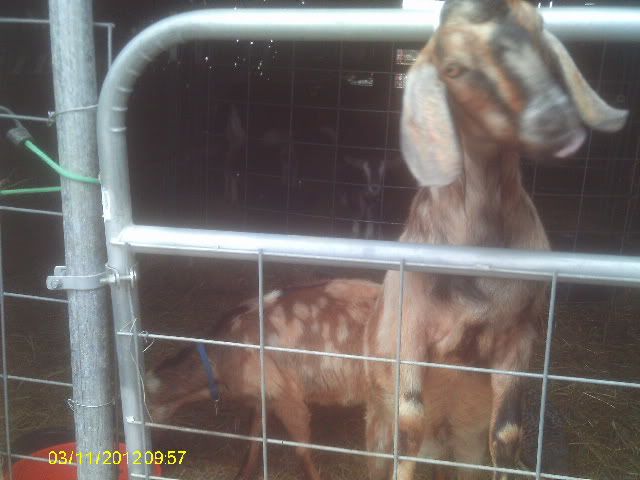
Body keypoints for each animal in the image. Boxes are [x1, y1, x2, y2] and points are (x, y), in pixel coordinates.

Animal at [144, 278, 380, 480]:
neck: (220, 357)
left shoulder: (286, 396)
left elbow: (301, 451)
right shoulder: (262, 398)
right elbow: (254, 439)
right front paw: (243, 474)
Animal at [363, 1, 627, 479]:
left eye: (538, 35)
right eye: (452, 68)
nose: (553, 120)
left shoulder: (518, 335)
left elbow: (506, 434)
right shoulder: (408, 330)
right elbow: (408, 426)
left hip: (465, 443)